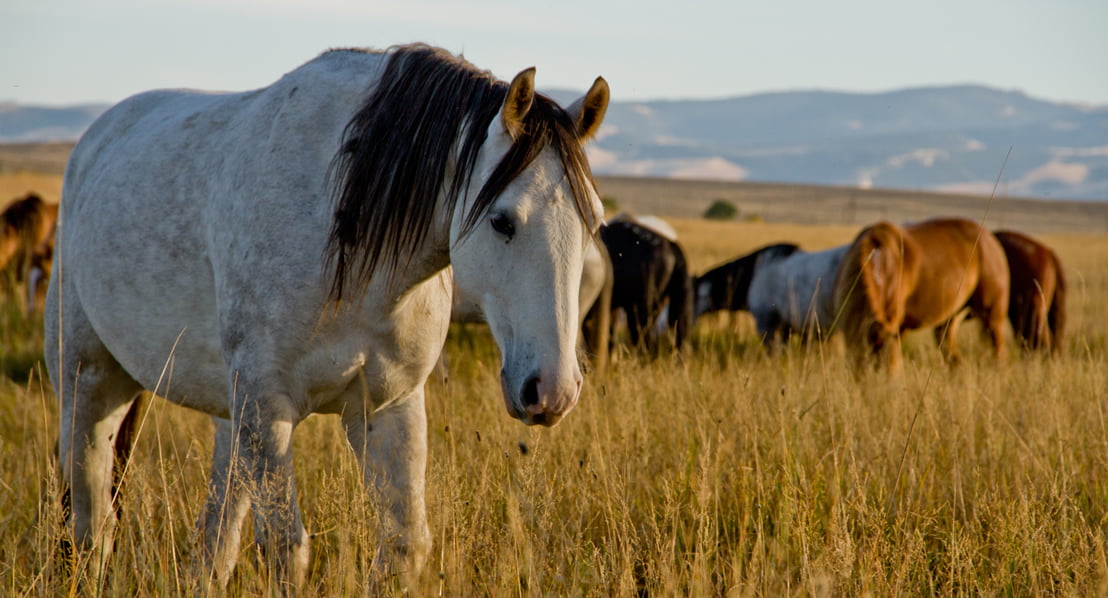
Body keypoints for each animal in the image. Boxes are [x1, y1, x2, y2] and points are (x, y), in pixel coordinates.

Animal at [47, 43, 609, 590]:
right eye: (501, 221)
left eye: (595, 223)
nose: (553, 391)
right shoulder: (268, 407)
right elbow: (285, 550)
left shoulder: (388, 407)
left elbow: (404, 546)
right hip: (91, 385)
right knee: (92, 522)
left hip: (230, 415)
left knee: (215, 538)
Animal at [833, 218, 1009, 373]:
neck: (880, 262)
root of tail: (989, 237)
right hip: (949, 321)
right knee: (954, 358)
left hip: (992, 316)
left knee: (998, 351)